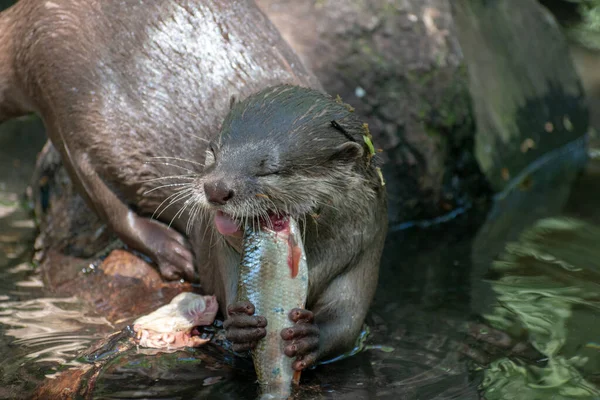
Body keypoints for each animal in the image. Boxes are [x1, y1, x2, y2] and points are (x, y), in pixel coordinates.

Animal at [0, 0, 390, 368]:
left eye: (270, 169)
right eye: (213, 150)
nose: (216, 189)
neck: (320, 255)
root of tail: (28, 15)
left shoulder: (365, 245)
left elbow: (348, 321)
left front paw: (311, 337)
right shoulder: (219, 248)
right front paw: (240, 325)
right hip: (59, 92)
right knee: (101, 195)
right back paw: (171, 249)